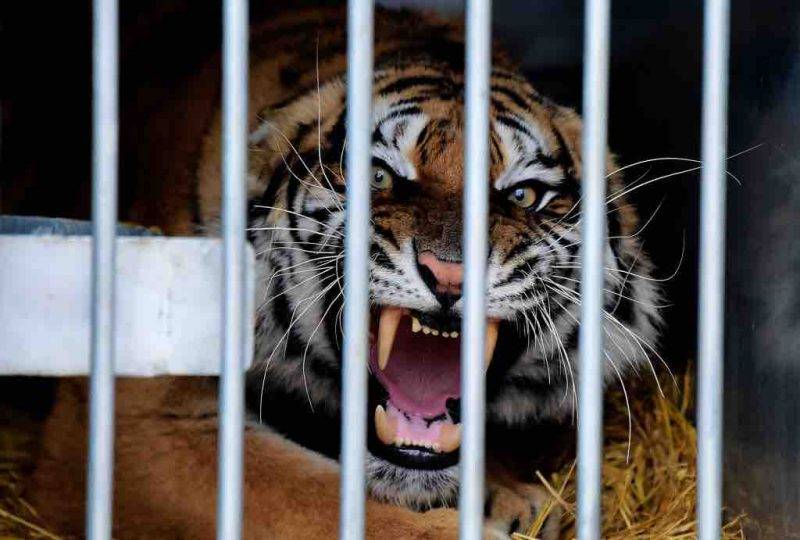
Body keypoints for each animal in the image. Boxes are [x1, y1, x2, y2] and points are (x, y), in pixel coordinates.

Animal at [27, 5, 661, 539]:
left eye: (524, 195)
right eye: (378, 177)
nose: (449, 275)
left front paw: (513, 498)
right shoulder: (141, 420)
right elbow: (316, 502)